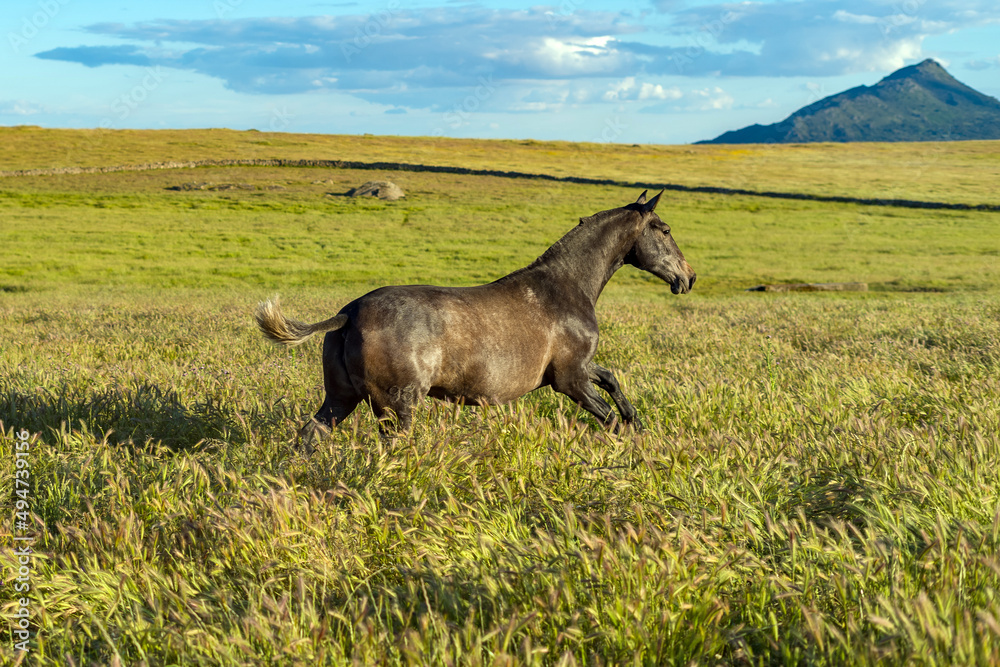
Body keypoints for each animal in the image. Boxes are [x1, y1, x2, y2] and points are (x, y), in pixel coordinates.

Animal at [255, 190, 696, 450]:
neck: (567, 286)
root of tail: (348, 313)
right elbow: (607, 417)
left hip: (340, 398)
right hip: (395, 408)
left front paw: (637, 422)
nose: (688, 278)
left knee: (310, 435)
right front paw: (630, 443)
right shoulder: (570, 380)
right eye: (665, 229)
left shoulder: (575, 369)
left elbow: (612, 381)